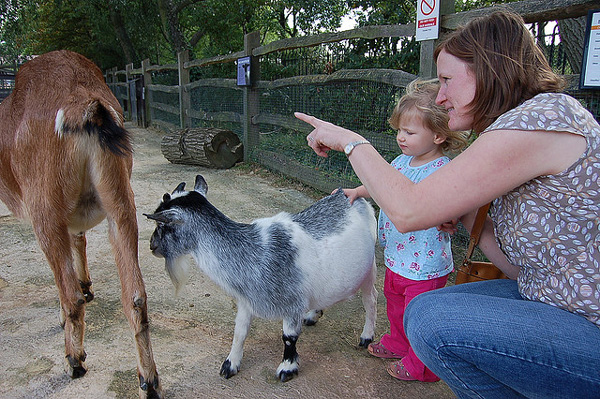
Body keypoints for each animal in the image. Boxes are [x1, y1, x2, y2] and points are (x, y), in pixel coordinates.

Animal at [145, 177, 378, 382]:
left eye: (163, 225)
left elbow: (288, 337)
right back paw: (313, 314)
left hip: (370, 268)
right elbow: (239, 332)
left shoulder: (292, 303)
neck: (254, 251)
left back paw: (366, 336)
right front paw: (230, 364)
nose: (151, 246)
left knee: (371, 299)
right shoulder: (246, 301)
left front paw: (287, 368)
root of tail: (353, 197)